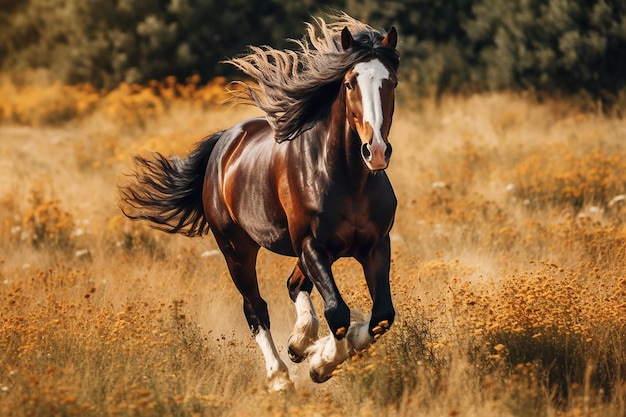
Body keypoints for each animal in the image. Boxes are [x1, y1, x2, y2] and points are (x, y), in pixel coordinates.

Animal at [119, 13, 398, 390]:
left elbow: (381, 316)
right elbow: (337, 312)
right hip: (237, 248)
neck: (348, 179)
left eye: (391, 82)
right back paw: (280, 376)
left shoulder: (375, 245)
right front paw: (321, 364)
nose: (376, 151)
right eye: (350, 84)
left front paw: (319, 350)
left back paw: (299, 343)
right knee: (255, 308)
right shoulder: (311, 245)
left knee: (294, 286)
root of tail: (225, 141)